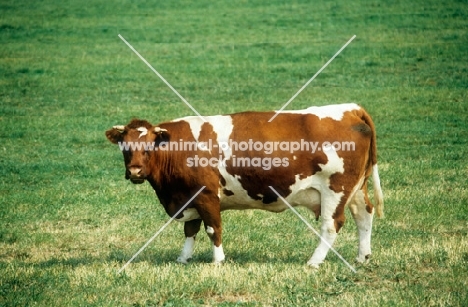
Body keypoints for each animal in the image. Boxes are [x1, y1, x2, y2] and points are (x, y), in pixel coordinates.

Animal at [106, 104, 384, 270]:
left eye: (148, 147)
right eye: (125, 146)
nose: (135, 171)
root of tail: (349, 109)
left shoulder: (206, 195)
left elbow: (212, 228)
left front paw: (218, 261)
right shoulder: (189, 197)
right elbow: (190, 229)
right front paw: (183, 258)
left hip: (335, 189)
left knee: (331, 225)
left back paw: (313, 262)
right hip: (356, 189)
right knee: (364, 214)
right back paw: (362, 256)